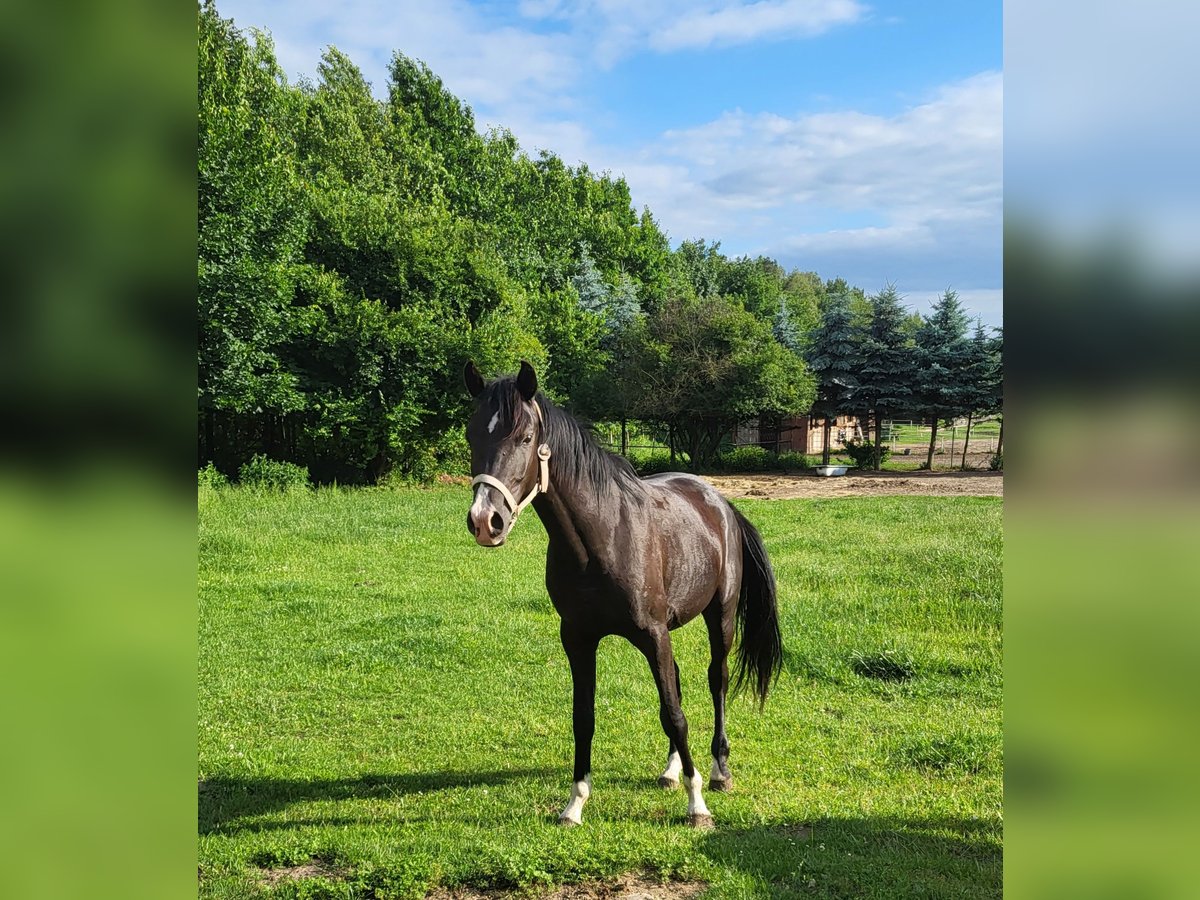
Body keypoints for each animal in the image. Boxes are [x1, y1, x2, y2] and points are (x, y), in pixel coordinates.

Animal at [463, 362, 782, 830]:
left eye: (524, 437)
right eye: (472, 435)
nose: (486, 521)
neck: (604, 536)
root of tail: (720, 503)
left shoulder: (652, 634)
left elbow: (675, 715)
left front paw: (697, 805)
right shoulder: (579, 638)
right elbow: (585, 717)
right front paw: (575, 804)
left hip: (719, 617)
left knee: (716, 681)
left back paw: (719, 770)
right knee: (679, 683)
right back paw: (670, 771)